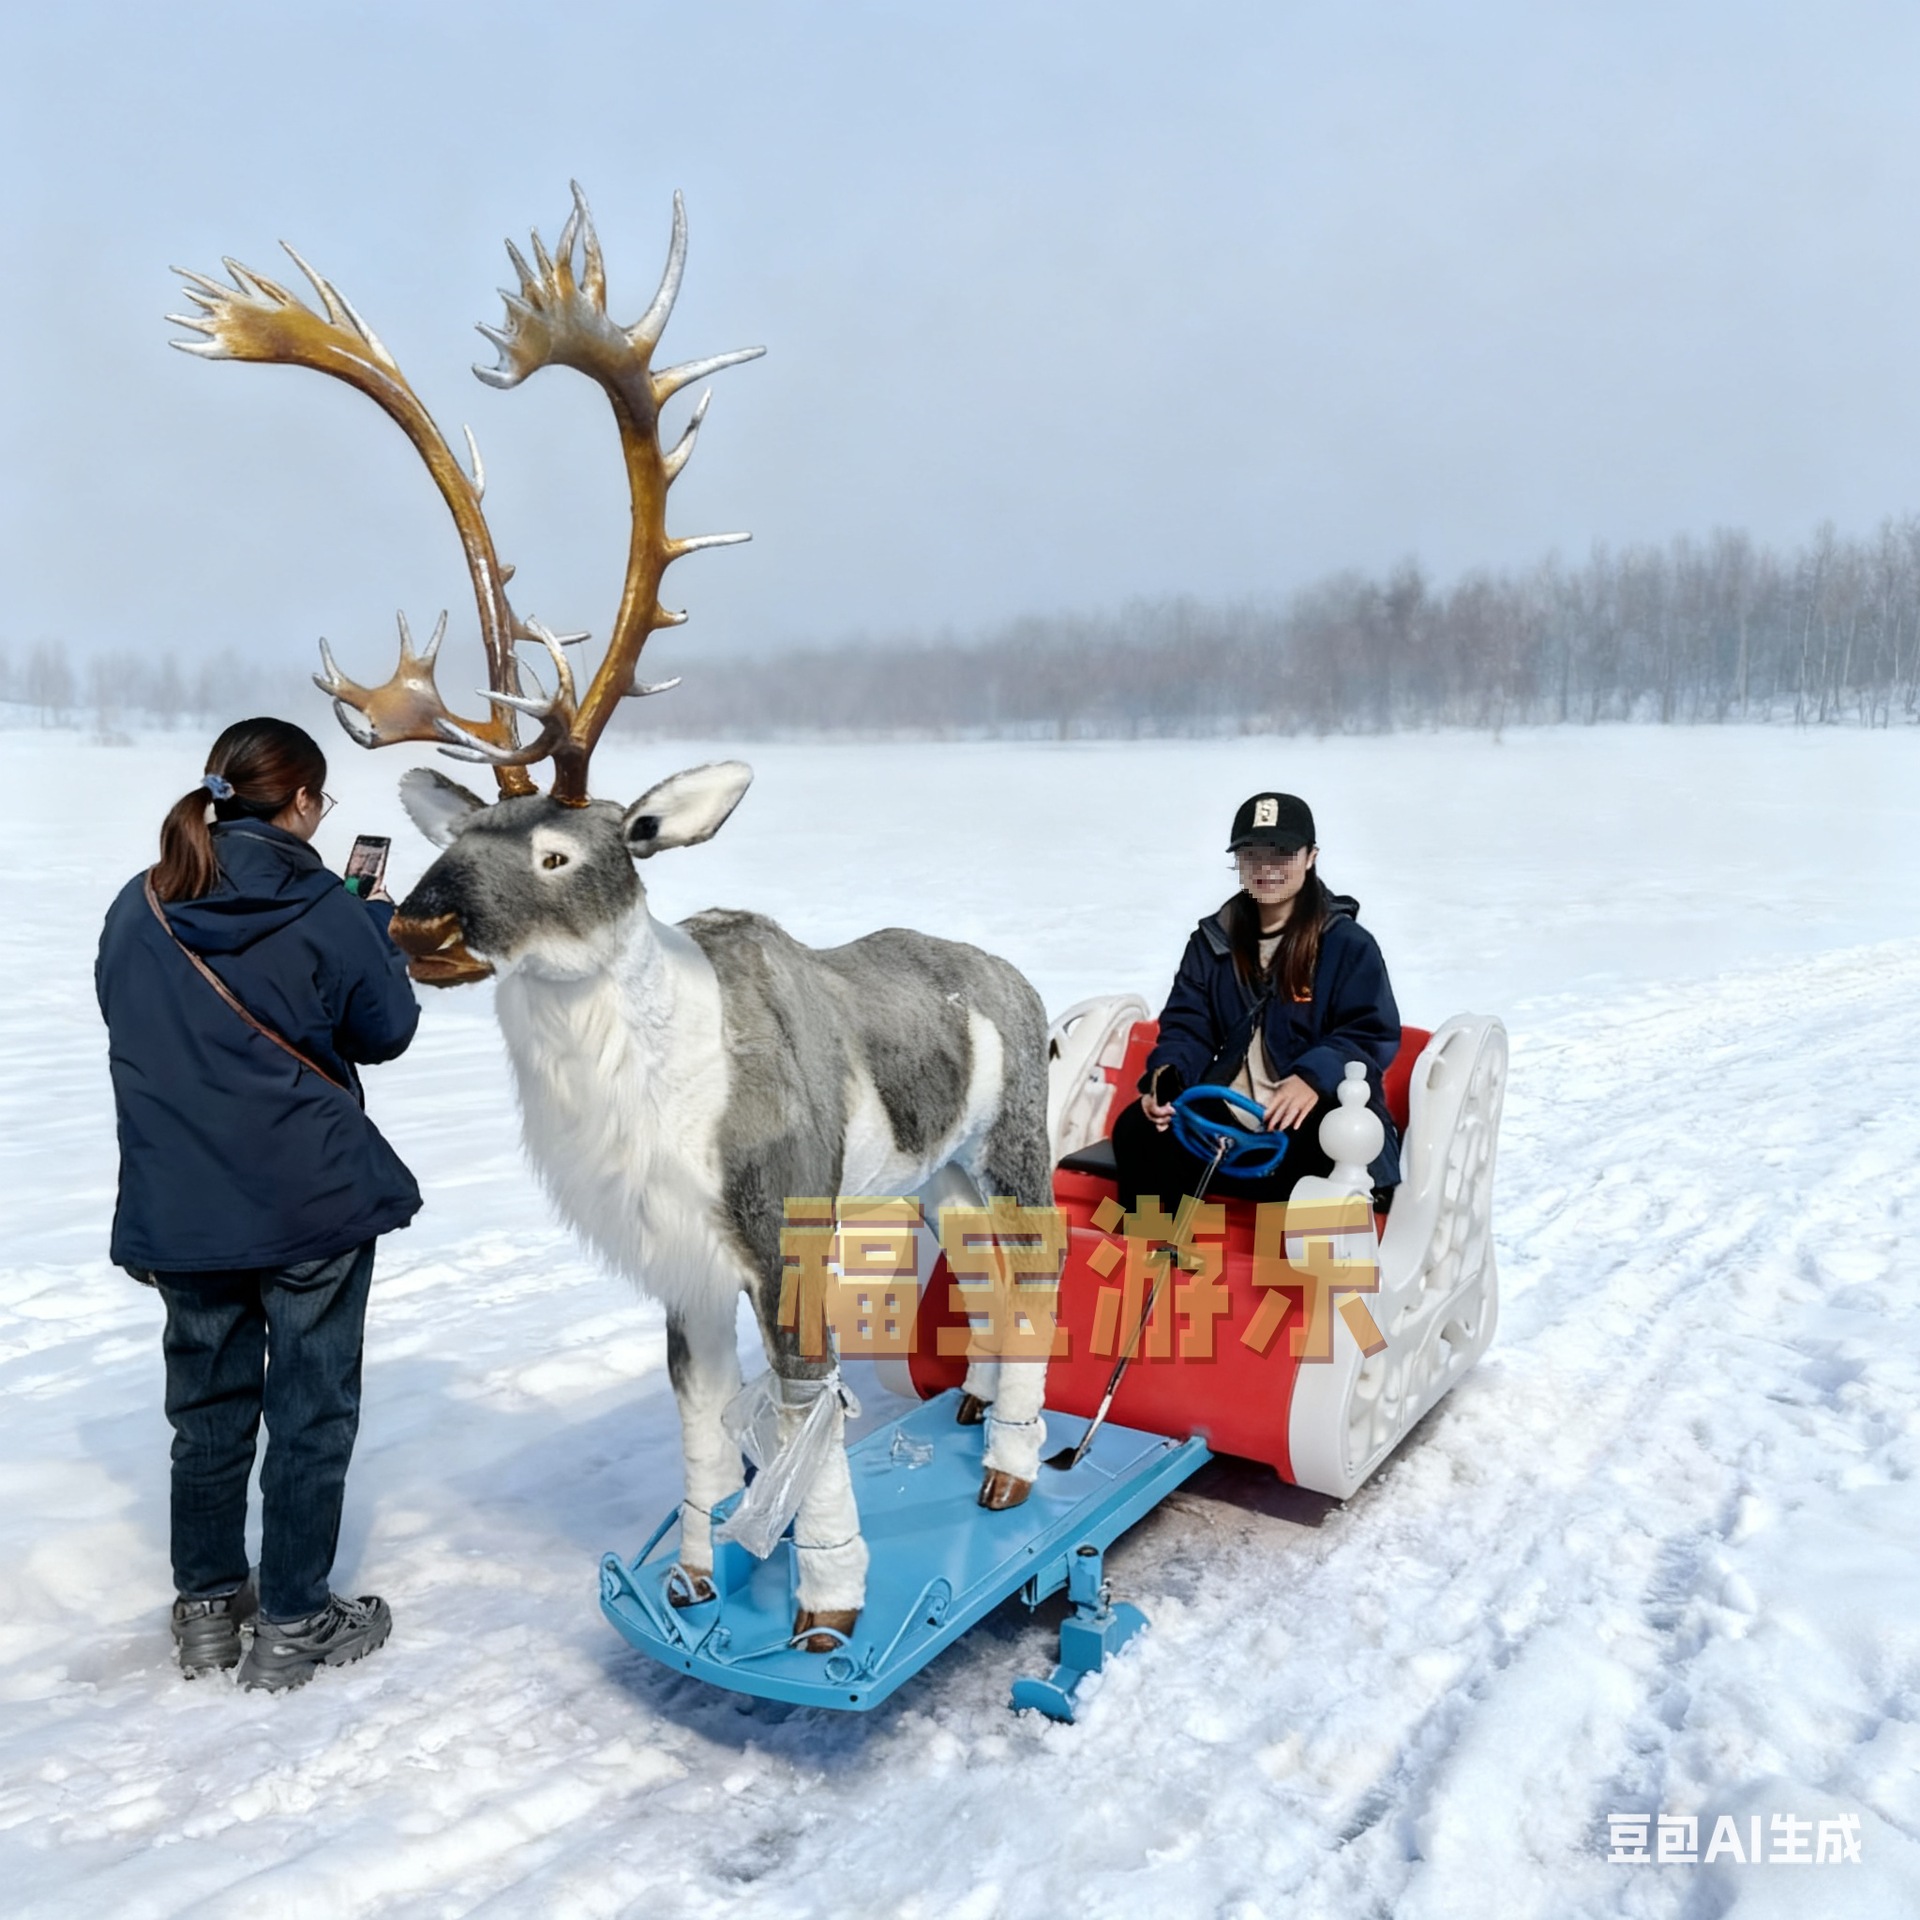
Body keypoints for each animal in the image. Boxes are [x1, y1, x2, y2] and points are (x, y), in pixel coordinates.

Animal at [170, 186, 1055, 1650]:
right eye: (452, 838)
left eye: (561, 847)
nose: (418, 932)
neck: (647, 1094)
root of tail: (1016, 980)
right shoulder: (675, 1265)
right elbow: (699, 1420)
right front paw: (695, 1577)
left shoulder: (780, 1231)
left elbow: (807, 1418)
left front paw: (827, 1610)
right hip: (938, 1180)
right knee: (979, 1287)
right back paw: (982, 1427)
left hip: (1015, 1148)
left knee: (1037, 1284)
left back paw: (1012, 1472)